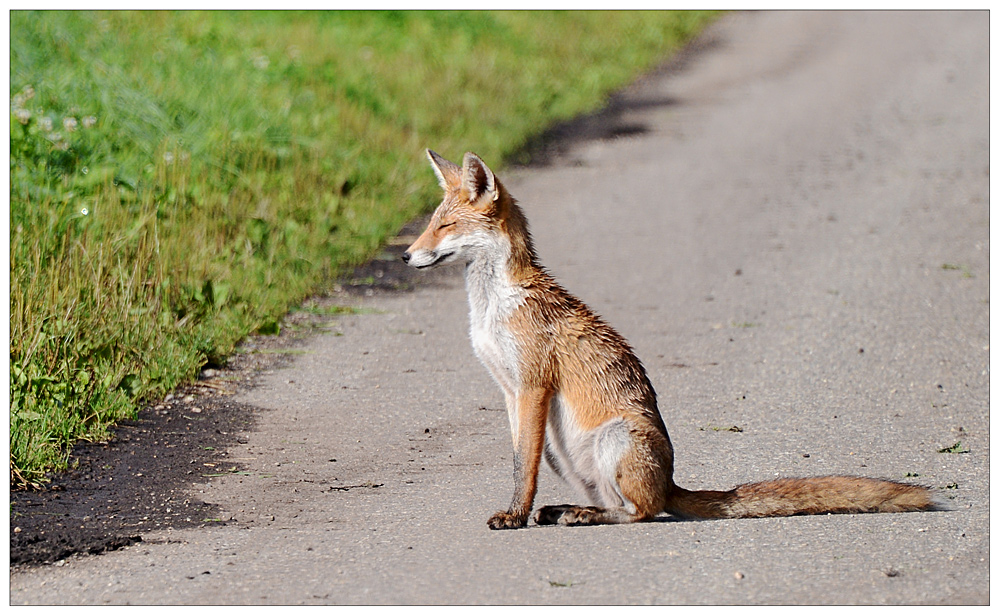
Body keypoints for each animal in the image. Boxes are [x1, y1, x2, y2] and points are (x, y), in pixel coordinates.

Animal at [400, 149, 944, 528]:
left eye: (445, 226)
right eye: (429, 224)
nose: (405, 255)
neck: (493, 307)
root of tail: (671, 481)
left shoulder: (533, 386)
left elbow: (522, 469)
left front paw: (514, 515)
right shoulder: (509, 391)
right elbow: (518, 460)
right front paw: (520, 510)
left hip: (615, 438)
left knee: (643, 512)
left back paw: (584, 515)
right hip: (567, 451)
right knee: (621, 503)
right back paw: (569, 509)